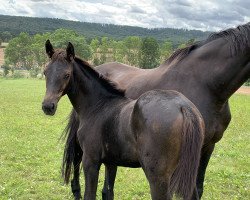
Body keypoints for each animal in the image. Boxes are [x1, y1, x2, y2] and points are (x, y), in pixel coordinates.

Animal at [42, 41, 204, 200]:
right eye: (45, 72)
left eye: (66, 74)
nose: (48, 106)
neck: (98, 105)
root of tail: (183, 107)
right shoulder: (111, 162)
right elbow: (108, 193)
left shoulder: (91, 160)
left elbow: (90, 195)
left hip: (158, 178)